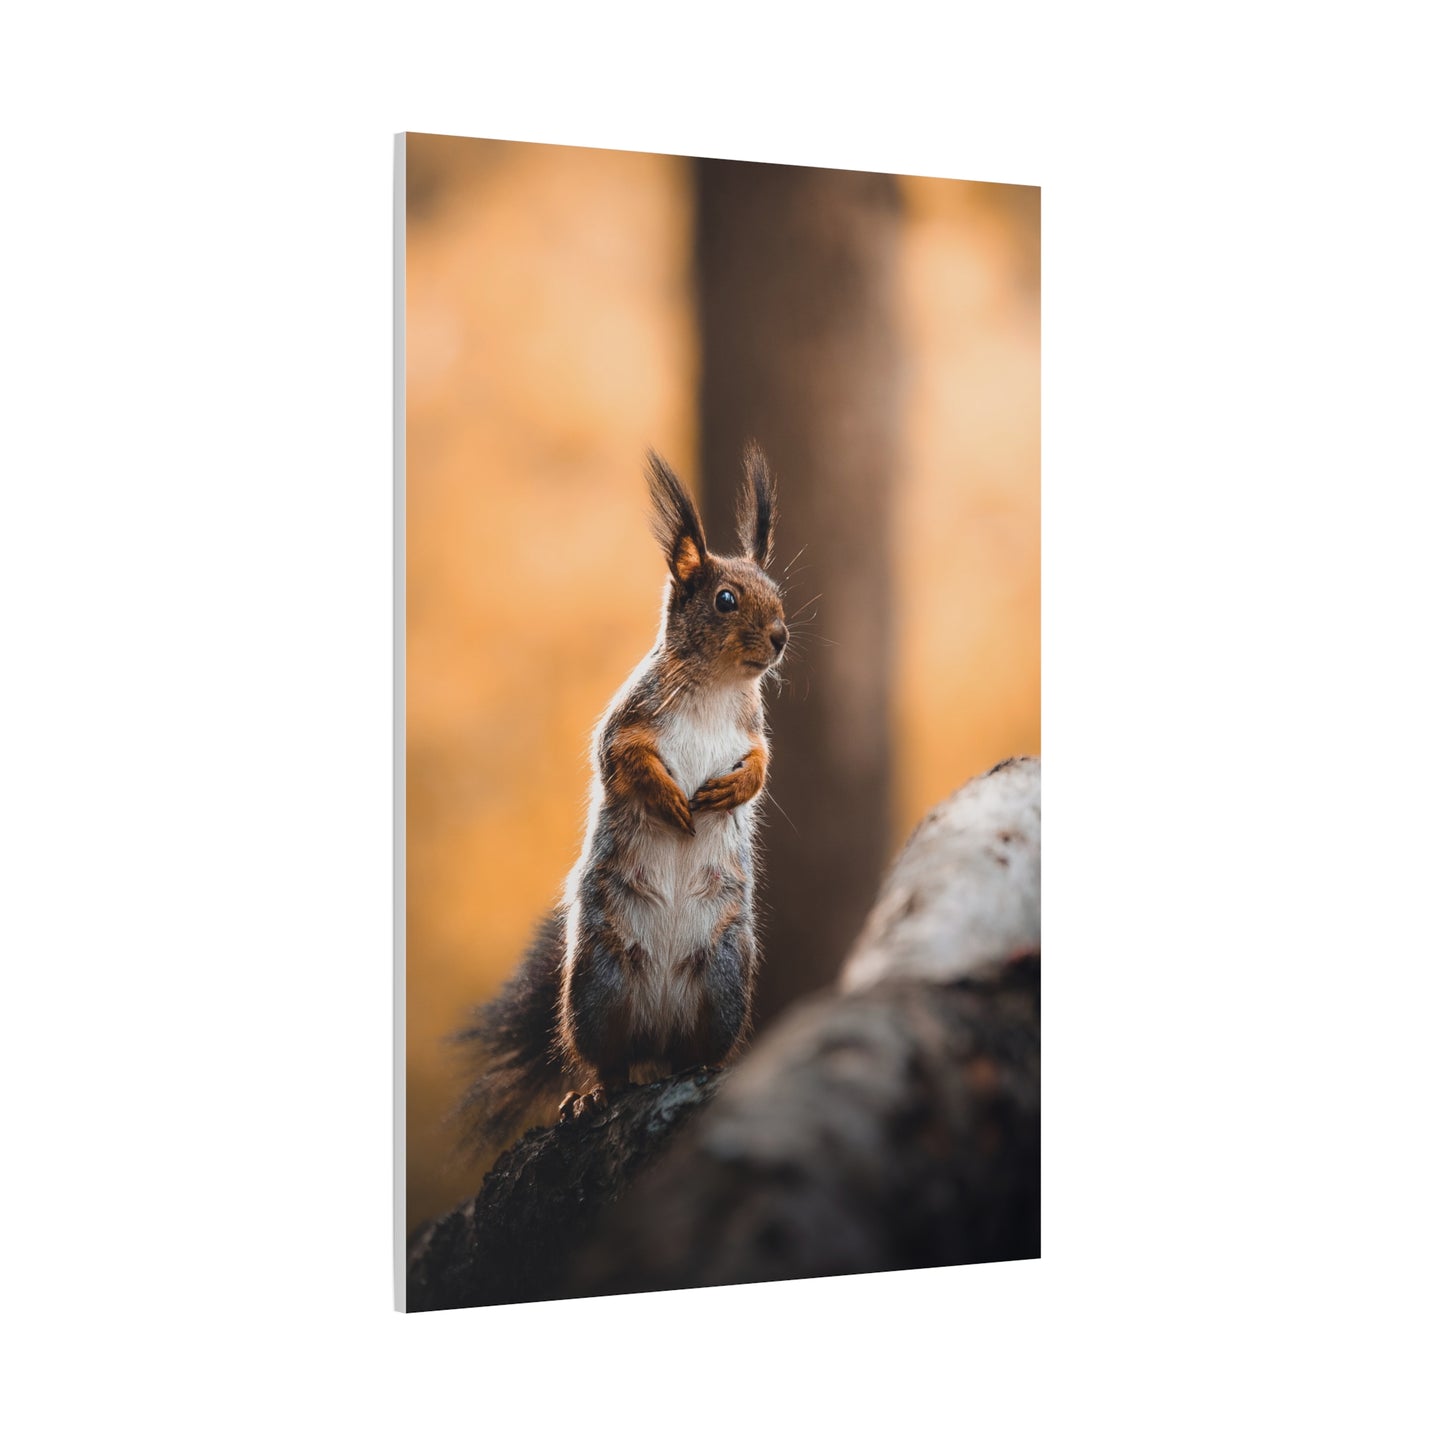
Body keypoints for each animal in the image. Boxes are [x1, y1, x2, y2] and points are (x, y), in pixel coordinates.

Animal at [456, 444, 789, 1159]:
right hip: (597, 986)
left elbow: (760, 768)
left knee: (693, 1052)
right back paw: (593, 1094)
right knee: (609, 1060)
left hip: (723, 979)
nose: (780, 637)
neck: (719, 686)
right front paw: (670, 800)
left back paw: (700, 1068)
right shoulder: (629, 719)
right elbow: (623, 759)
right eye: (725, 600)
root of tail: (657, 1032)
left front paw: (730, 789)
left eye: (779, 594)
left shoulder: (753, 731)